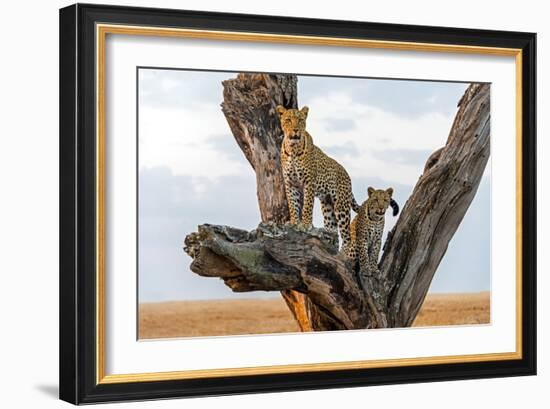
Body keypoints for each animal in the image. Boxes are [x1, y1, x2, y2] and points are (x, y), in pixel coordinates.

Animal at [276, 103, 362, 253]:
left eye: (300, 120)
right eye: (288, 120)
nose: (296, 130)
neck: (293, 148)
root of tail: (347, 175)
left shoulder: (308, 182)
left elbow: (307, 206)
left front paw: (305, 225)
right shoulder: (290, 183)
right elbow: (293, 204)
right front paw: (294, 222)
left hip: (341, 206)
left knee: (347, 236)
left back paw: (343, 253)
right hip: (327, 206)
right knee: (333, 230)